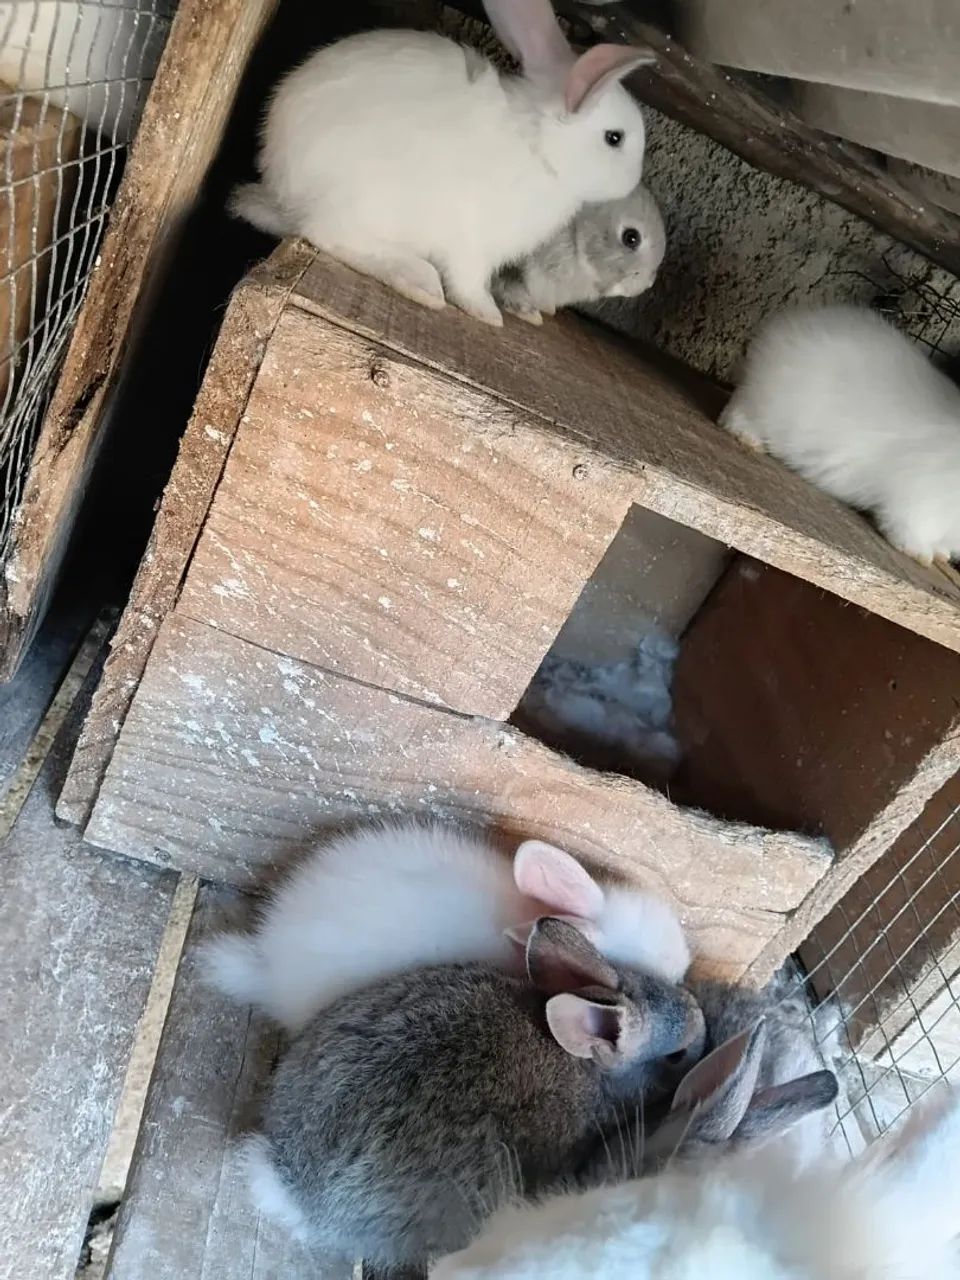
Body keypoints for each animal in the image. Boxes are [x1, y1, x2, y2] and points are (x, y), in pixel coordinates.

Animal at [720, 304, 960, 565]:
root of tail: (781, 328)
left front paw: (941, 555)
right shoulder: (918, 506)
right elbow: (909, 531)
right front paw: (921, 555)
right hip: (766, 406)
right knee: (737, 411)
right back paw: (748, 438)